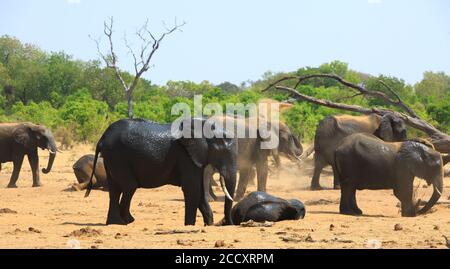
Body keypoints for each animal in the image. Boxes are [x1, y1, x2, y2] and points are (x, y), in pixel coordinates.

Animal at [85, 117, 239, 224]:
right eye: (221, 151)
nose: (228, 223)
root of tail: (102, 138)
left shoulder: (196, 157)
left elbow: (199, 190)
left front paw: (208, 224)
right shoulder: (185, 156)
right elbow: (192, 189)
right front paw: (189, 225)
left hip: (110, 158)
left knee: (115, 189)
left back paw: (115, 223)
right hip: (118, 157)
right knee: (129, 186)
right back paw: (127, 221)